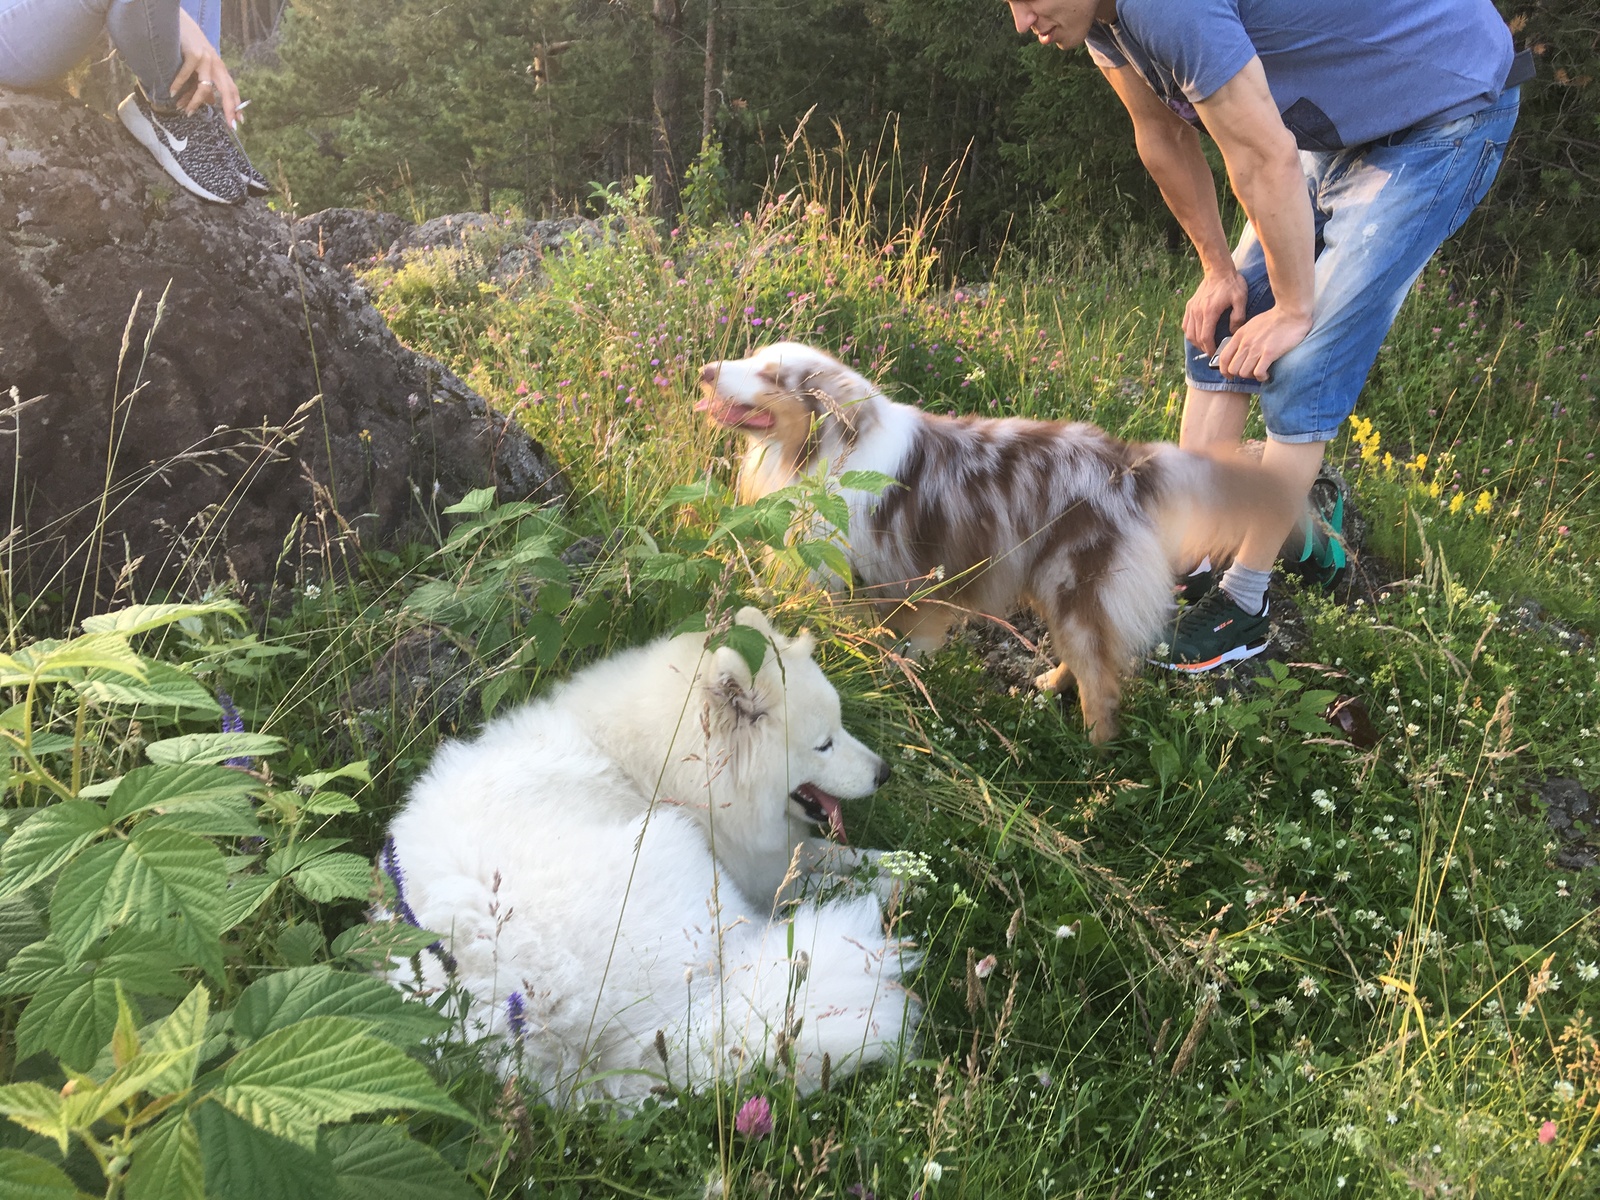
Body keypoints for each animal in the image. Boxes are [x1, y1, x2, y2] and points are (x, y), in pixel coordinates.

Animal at [379, 611, 921, 1107]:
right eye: (823, 745)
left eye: (841, 728)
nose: (884, 773)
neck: (639, 765)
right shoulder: (756, 866)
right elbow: (827, 870)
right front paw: (897, 882)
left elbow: (842, 854)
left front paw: (902, 866)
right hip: (677, 855)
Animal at [694, 340, 1292, 742]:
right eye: (752, 356)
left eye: (773, 375)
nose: (704, 371)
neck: (833, 447)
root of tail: (1128, 464)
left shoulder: (906, 581)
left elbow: (902, 648)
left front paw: (892, 685)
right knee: (1087, 659)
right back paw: (1048, 688)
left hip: (1075, 584)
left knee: (1101, 681)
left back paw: (1092, 758)